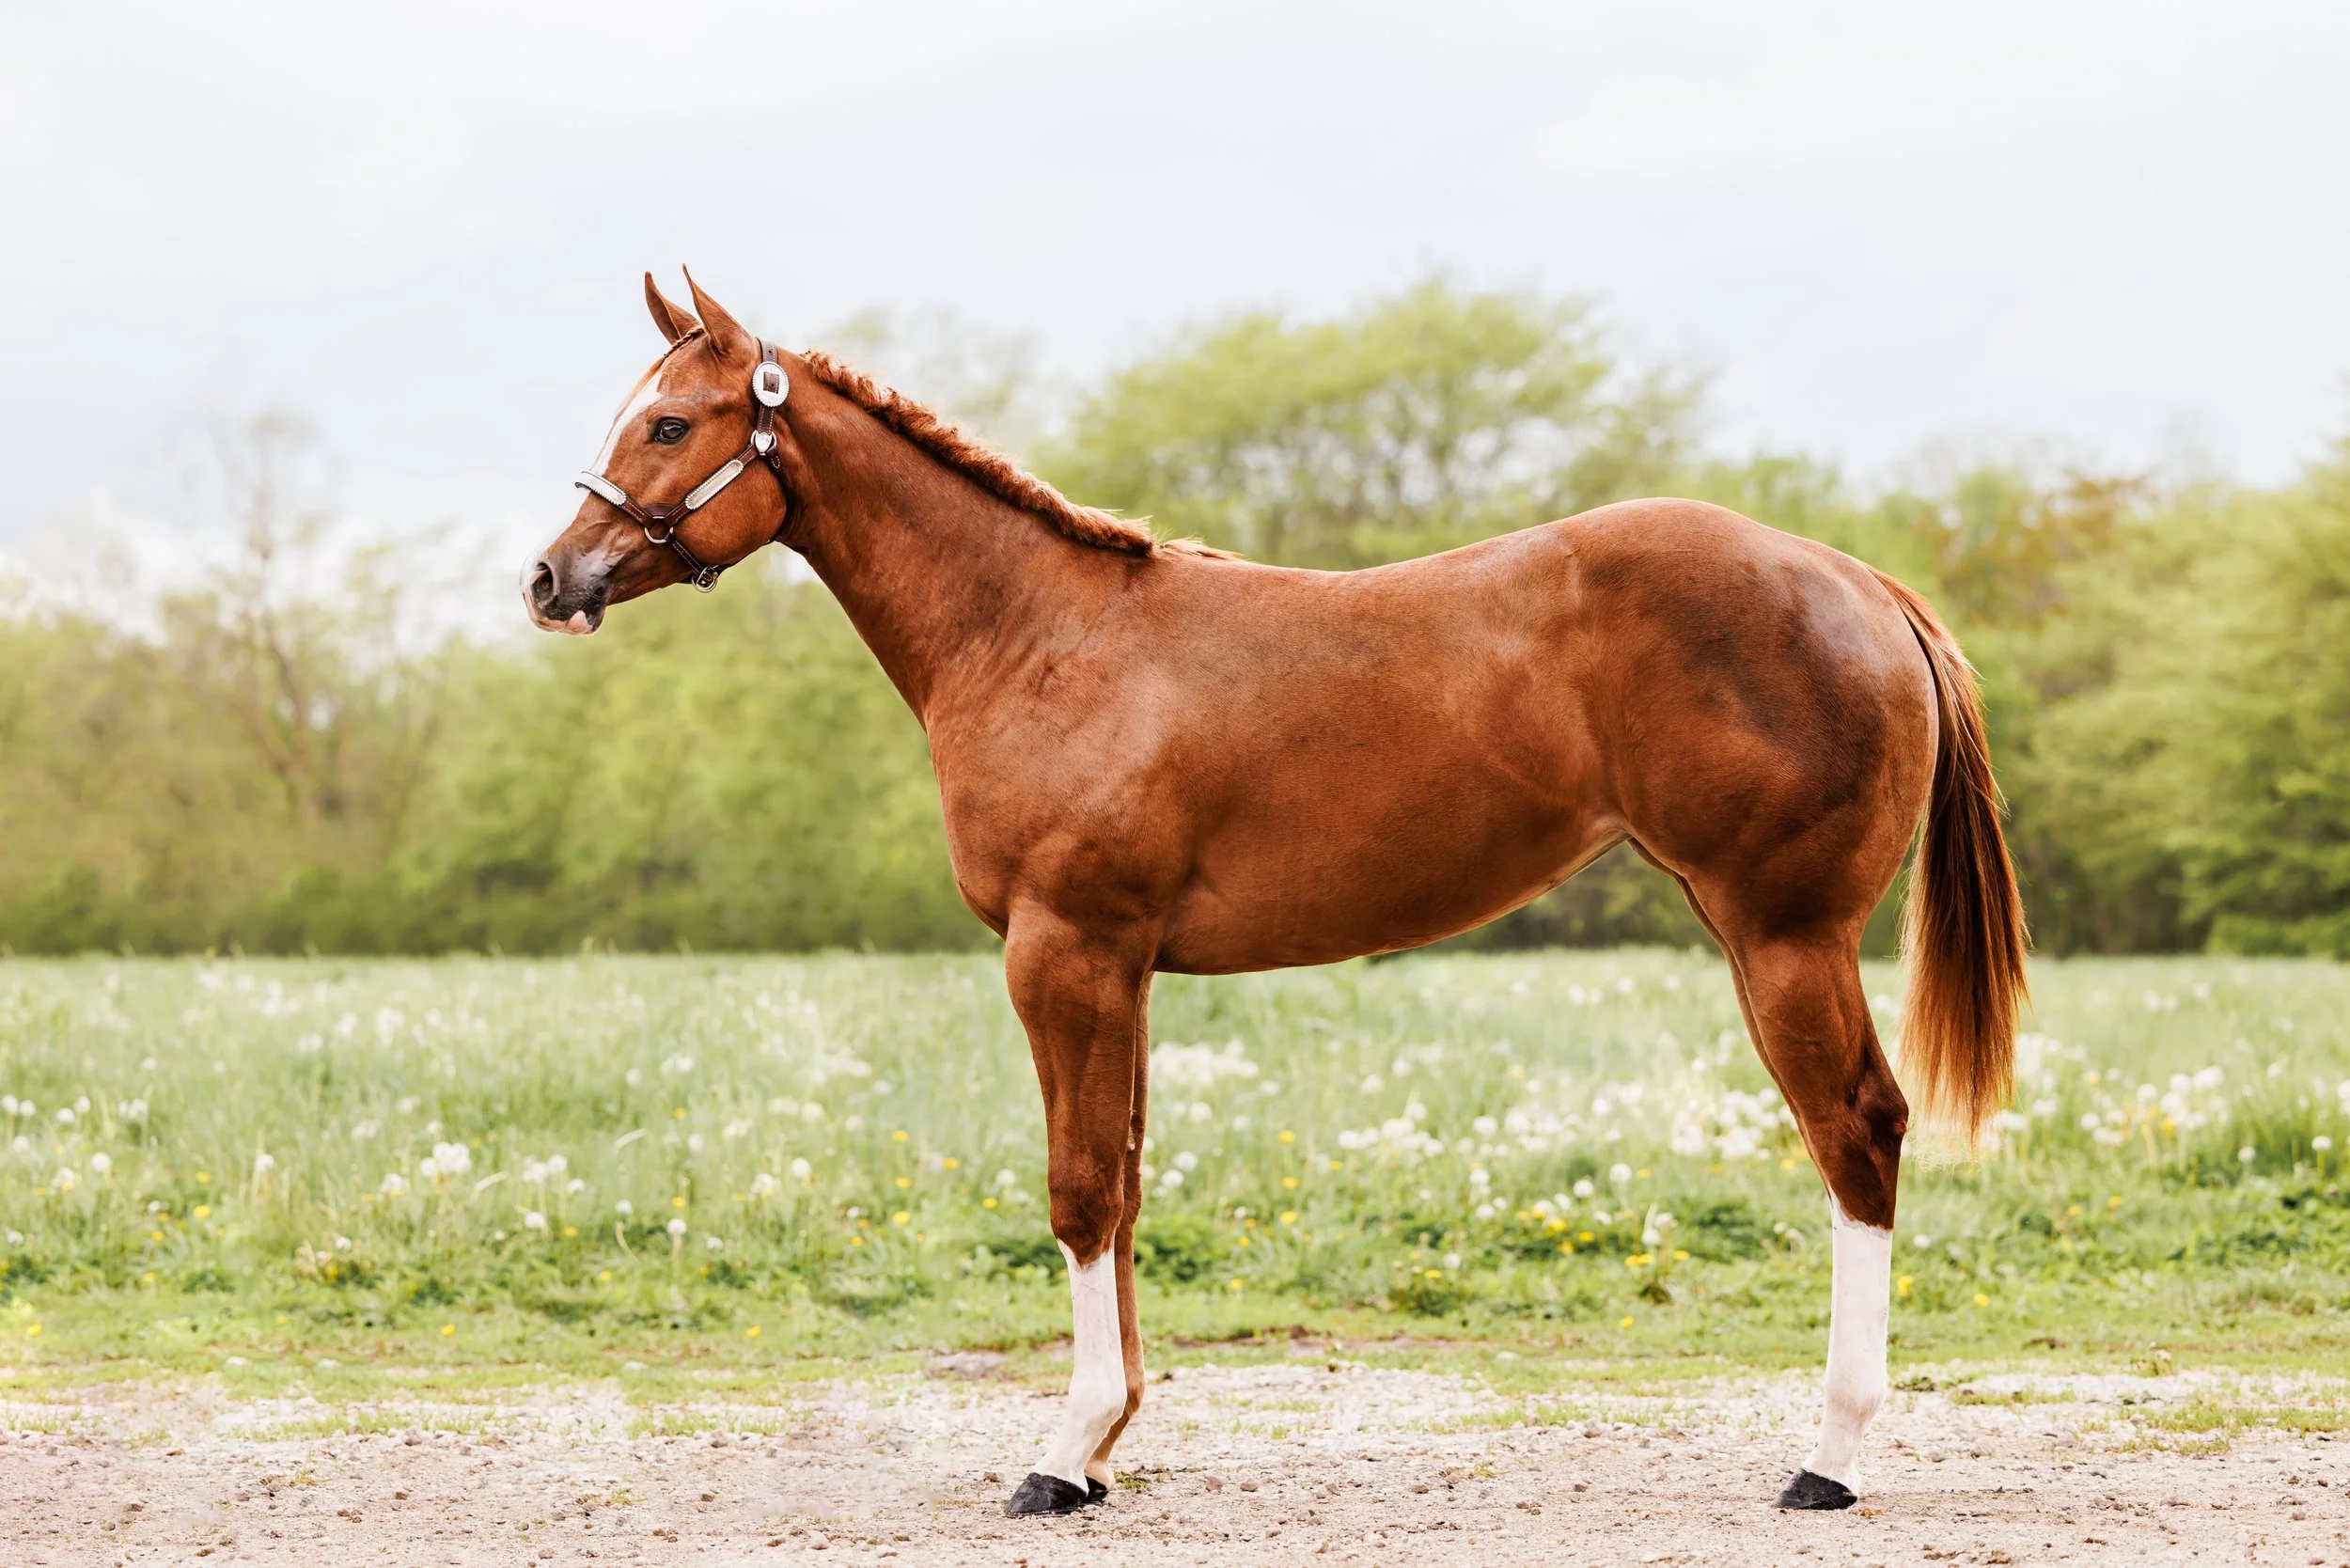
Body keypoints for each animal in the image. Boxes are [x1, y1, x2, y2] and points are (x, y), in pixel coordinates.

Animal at [525, 272, 2029, 1519]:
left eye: (670, 422)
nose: (552, 577)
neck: (1037, 638)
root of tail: (1860, 582)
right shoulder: (1123, 971)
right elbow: (1126, 1186)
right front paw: (1106, 1446)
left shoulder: (1062, 955)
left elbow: (1078, 1191)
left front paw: (1058, 1458)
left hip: (1782, 937)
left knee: (1858, 1139)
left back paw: (1830, 1460)